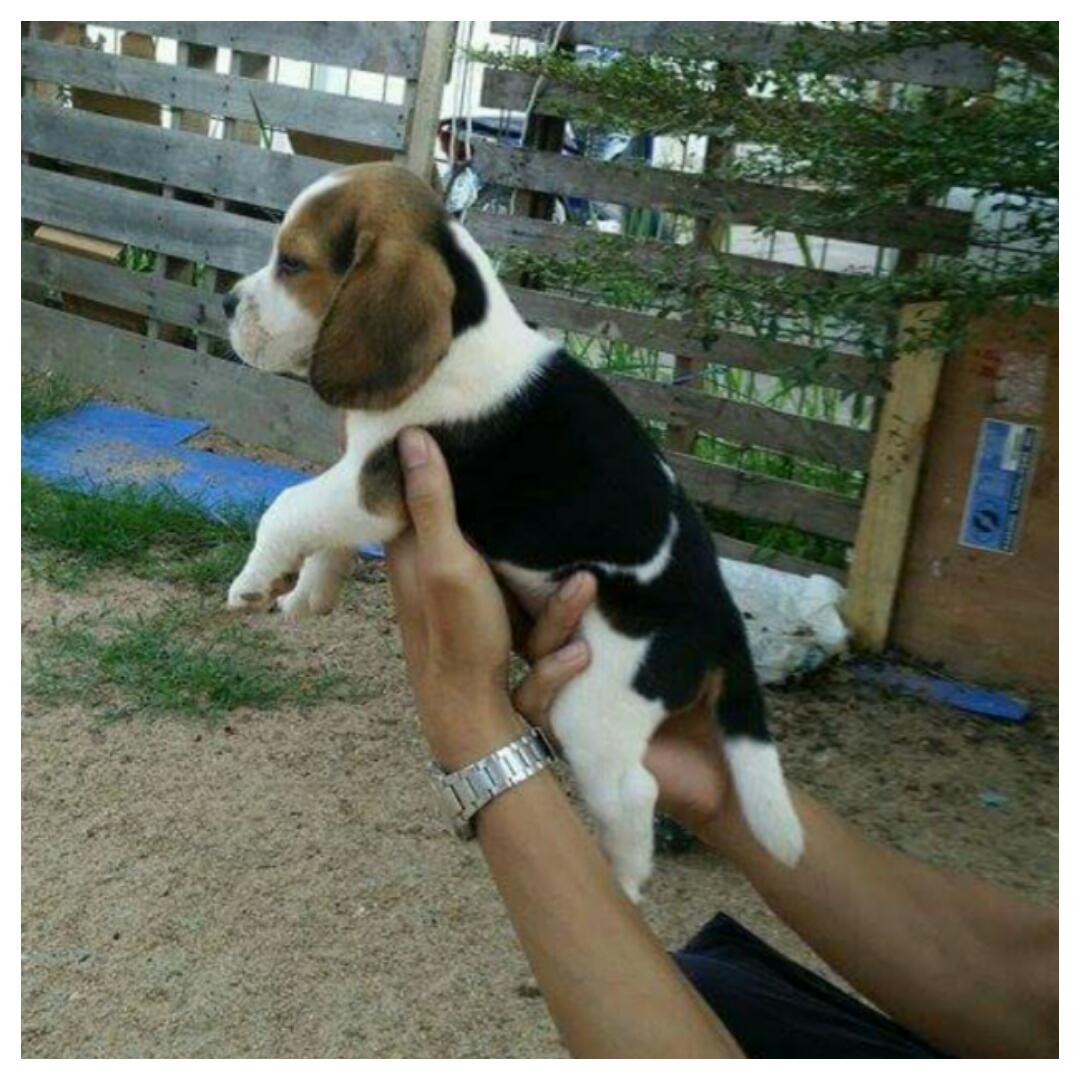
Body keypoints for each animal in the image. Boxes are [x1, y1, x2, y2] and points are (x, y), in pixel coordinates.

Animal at [224, 163, 803, 899]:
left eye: (293, 263)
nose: (224, 301)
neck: (458, 337)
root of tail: (723, 619)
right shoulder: (364, 481)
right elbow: (327, 536)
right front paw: (309, 594)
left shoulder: (373, 483)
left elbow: (289, 505)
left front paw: (253, 580)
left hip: (596, 704)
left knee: (635, 792)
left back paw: (621, 885)